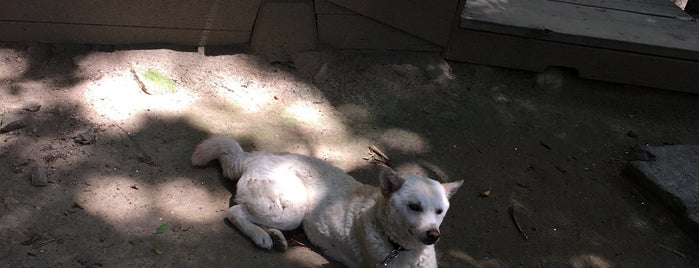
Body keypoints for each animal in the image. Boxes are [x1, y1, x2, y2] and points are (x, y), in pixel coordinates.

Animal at [193, 137, 464, 266]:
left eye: (440, 211)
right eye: (414, 207)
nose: (433, 235)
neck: (399, 247)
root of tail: (254, 156)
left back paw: (276, 238)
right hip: (291, 210)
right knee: (235, 211)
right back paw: (261, 237)